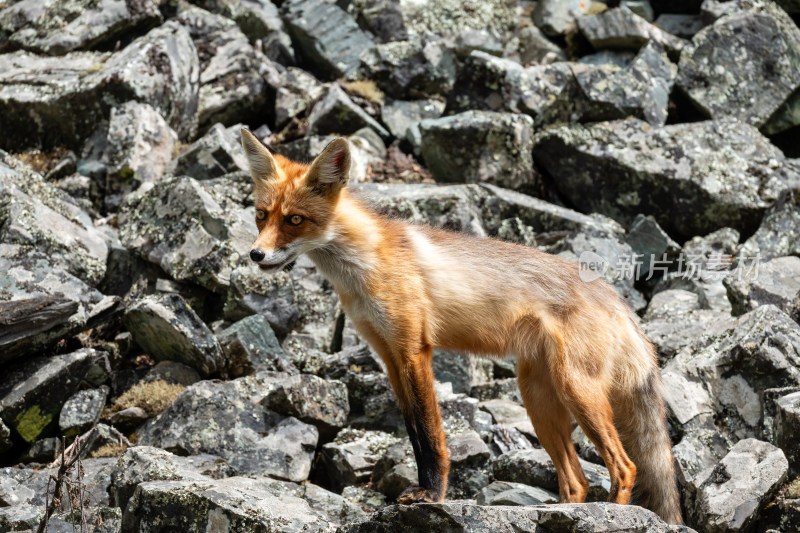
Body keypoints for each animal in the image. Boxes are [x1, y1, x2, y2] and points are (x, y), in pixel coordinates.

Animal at [242, 130, 680, 524]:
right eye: (261, 215)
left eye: (295, 220)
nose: (255, 255)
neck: (362, 266)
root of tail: (616, 298)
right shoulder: (388, 355)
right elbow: (414, 433)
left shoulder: (413, 350)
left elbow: (431, 435)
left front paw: (432, 495)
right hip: (539, 399)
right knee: (576, 481)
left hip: (577, 391)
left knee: (625, 466)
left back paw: (612, 514)